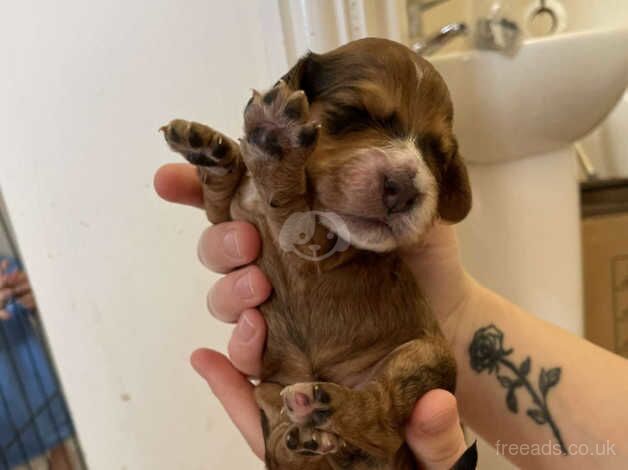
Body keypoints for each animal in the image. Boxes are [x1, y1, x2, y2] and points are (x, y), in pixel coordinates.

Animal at [162, 37, 472, 470]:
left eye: (436, 155)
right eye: (352, 113)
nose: (406, 189)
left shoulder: (318, 247)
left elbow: (293, 212)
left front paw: (275, 143)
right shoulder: (230, 218)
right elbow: (218, 201)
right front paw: (214, 150)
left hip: (429, 355)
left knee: (381, 426)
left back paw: (326, 408)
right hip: (267, 392)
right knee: (285, 452)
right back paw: (308, 438)